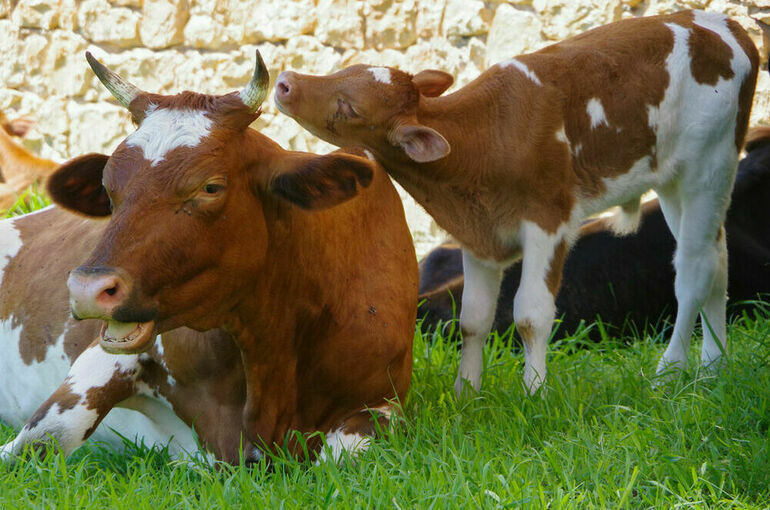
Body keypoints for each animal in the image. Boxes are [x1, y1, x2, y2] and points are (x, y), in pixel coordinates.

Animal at [1, 50, 414, 462]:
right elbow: (43, 437)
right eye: (108, 187)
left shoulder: (382, 402)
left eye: (211, 187)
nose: (87, 289)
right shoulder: (108, 357)